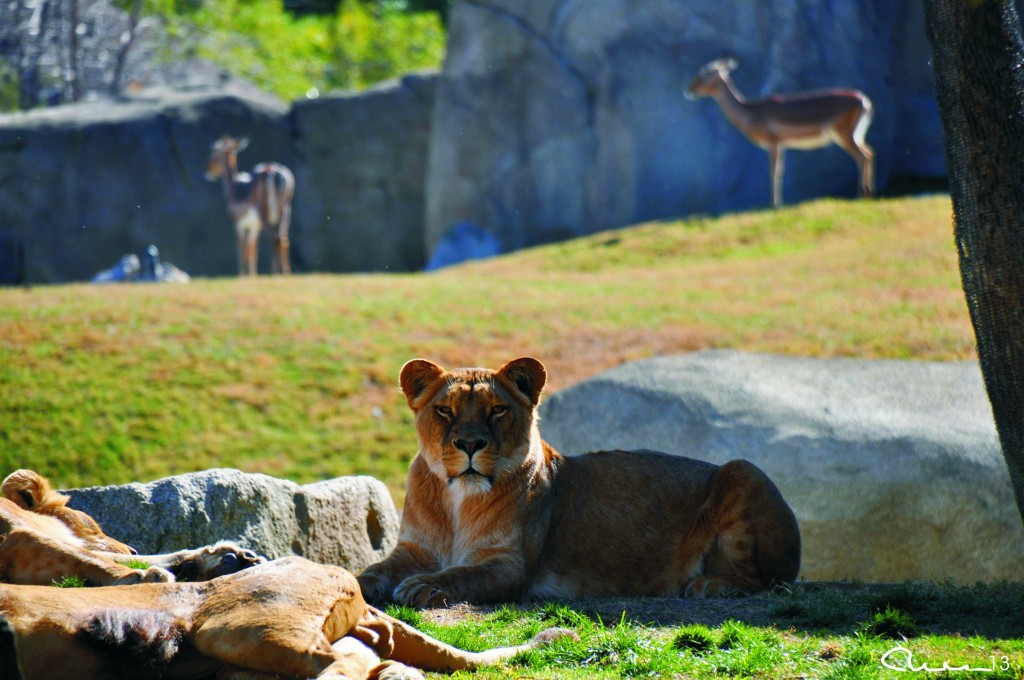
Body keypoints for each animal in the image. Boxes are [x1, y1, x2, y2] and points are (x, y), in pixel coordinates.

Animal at [202, 135, 292, 276]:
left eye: (214, 152)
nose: (206, 169)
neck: (235, 187)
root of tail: (274, 173)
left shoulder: (239, 223)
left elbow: (242, 250)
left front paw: (243, 275)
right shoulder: (254, 226)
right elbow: (252, 251)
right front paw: (253, 275)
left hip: (264, 212)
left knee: (276, 238)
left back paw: (277, 273)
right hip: (286, 210)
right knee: (284, 239)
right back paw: (286, 272)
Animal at [358, 356, 798, 606]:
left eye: (497, 409)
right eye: (445, 410)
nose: (469, 444)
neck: (458, 503)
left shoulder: (509, 565)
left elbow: (460, 575)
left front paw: (420, 587)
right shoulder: (413, 550)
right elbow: (373, 571)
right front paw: (355, 584)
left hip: (742, 468)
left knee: (765, 580)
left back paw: (704, 585)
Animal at [688, 57, 872, 206]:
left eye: (706, 73)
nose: (688, 90)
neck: (753, 112)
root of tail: (864, 100)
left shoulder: (774, 142)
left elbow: (773, 171)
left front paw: (775, 205)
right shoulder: (782, 144)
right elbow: (780, 171)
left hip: (845, 134)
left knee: (861, 156)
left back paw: (861, 195)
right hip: (855, 136)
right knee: (869, 153)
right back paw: (869, 193)